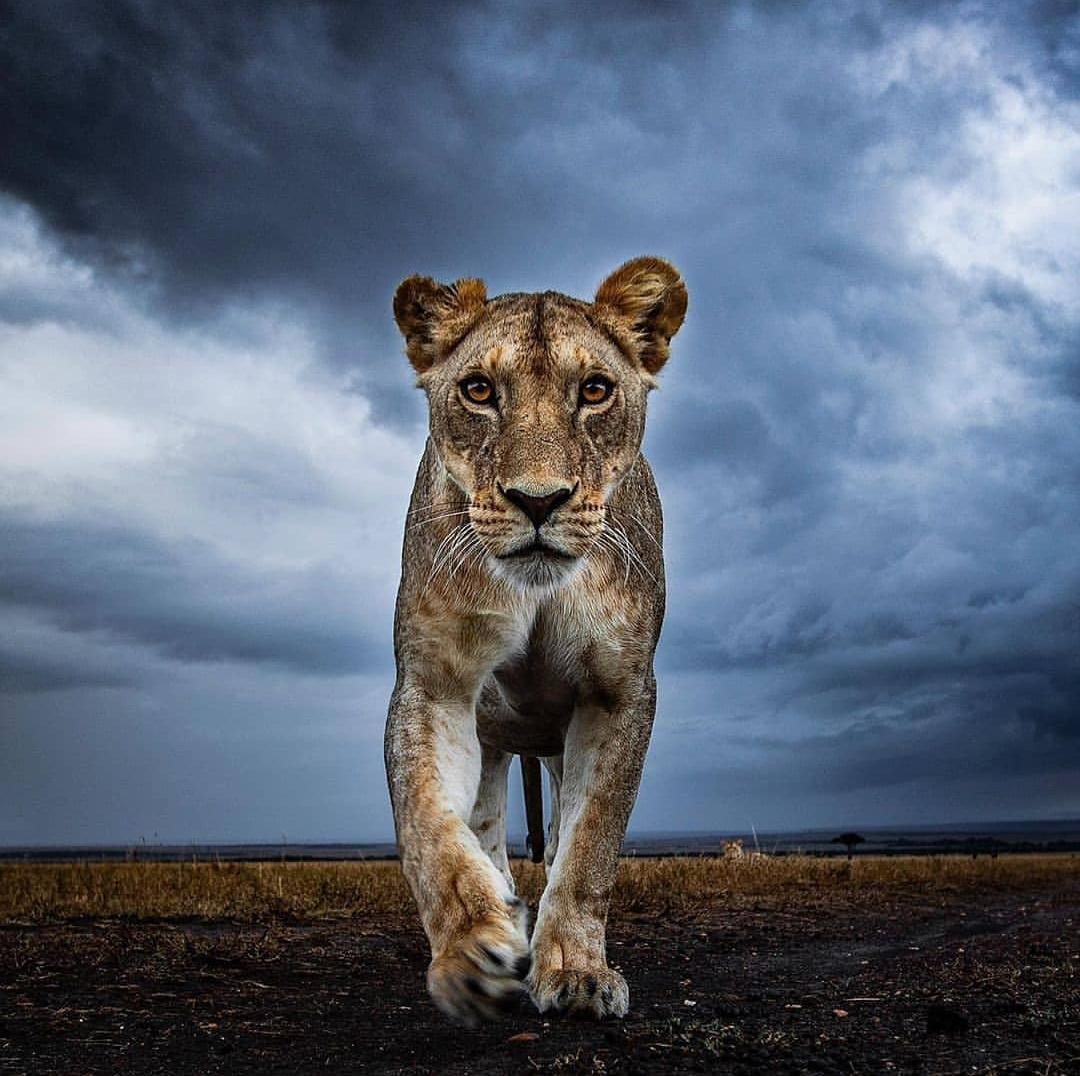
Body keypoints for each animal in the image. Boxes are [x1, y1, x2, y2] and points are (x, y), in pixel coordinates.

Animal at [384, 256, 687, 1025]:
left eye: (596, 390)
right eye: (479, 390)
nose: (538, 500)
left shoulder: (618, 694)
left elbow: (588, 848)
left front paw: (576, 971)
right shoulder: (434, 686)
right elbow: (428, 825)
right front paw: (472, 951)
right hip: (493, 742)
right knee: (486, 827)